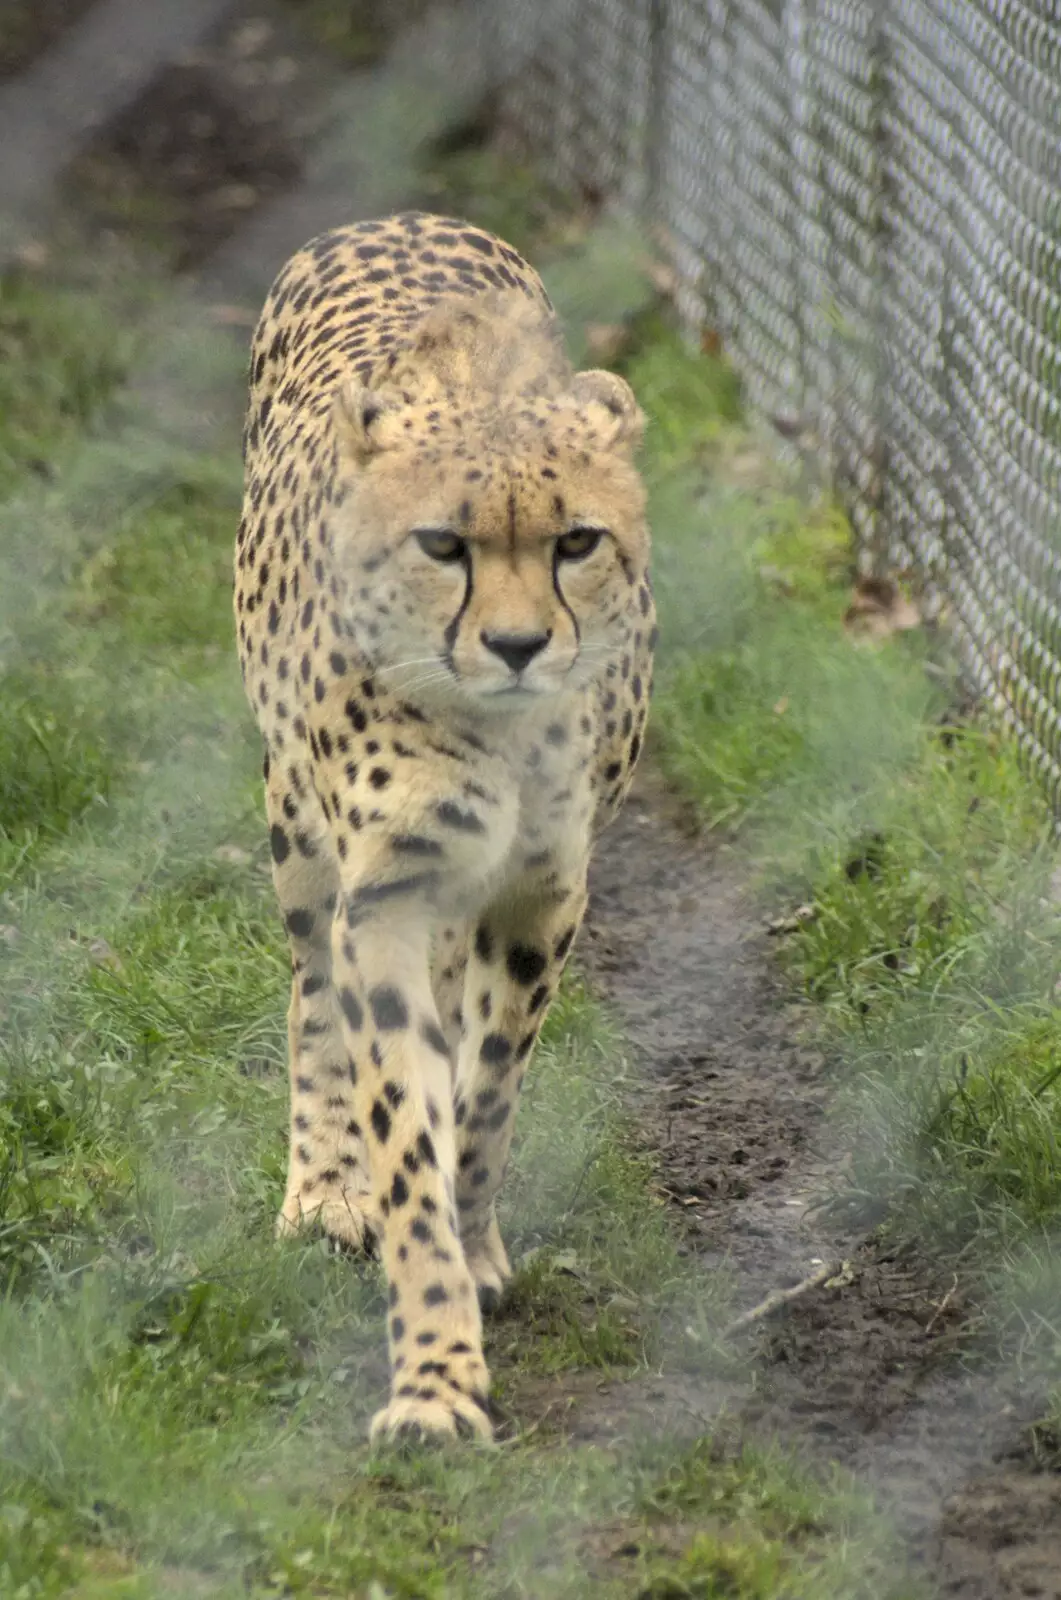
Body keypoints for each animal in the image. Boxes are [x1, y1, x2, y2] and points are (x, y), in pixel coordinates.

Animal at [236, 206, 656, 1446]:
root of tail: (399, 215)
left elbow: (486, 1090)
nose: (516, 646)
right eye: (441, 545)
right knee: (310, 989)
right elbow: (401, 1118)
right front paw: (431, 1377)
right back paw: (323, 1187)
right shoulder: (385, 895)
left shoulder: (542, 891)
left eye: (575, 541)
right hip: (295, 830)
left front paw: (472, 1248)